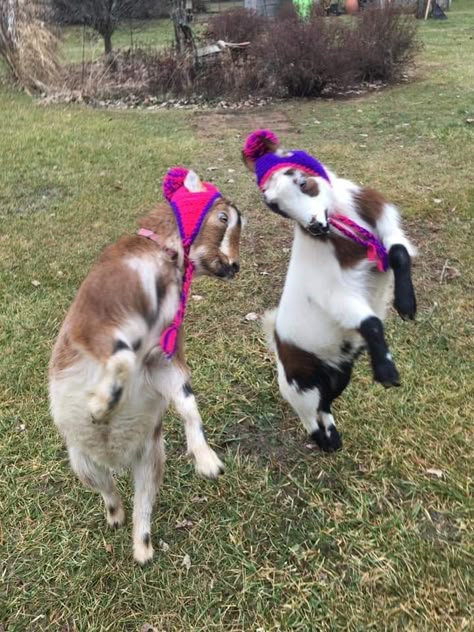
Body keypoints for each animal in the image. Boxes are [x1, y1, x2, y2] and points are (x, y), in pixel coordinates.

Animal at [49, 169, 241, 564]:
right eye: (223, 217)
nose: (235, 266)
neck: (161, 256)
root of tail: (115, 458)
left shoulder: (160, 357)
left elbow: (186, 401)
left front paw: (206, 460)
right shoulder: (94, 323)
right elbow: (122, 357)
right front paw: (101, 406)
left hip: (151, 460)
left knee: (142, 503)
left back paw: (142, 548)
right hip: (82, 462)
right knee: (108, 490)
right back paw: (114, 516)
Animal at [243, 133, 416, 452]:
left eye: (302, 182)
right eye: (274, 205)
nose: (315, 226)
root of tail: (277, 343)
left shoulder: (387, 232)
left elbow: (399, 254)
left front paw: (407, 305)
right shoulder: (334, 294)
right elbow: (371, 322)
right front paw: (386, 372)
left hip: (338, 374)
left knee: (325, 403)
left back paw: (333, 436)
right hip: (300, 383)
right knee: (307, 412)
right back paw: (324, 441)